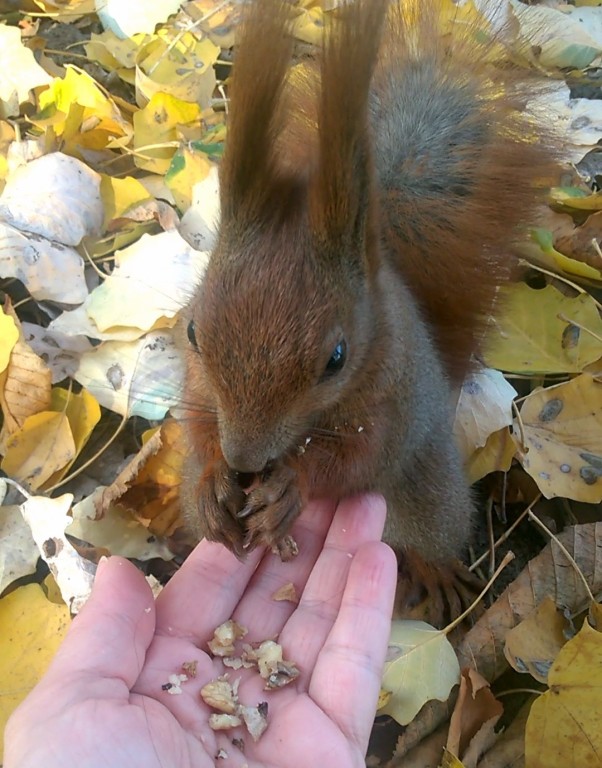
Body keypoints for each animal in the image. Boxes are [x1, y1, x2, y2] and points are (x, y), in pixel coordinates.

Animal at [179, 0, 552, 624]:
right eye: (191, 332)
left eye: (337, 357)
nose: (245, 459)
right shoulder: (198, 386)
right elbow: (196, 420)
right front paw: (214, 480)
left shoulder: (391, 401)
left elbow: (357, 460)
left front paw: (294, 484)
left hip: (429, 493)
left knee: (425, 537)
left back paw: (438, 574)